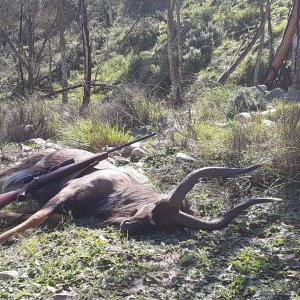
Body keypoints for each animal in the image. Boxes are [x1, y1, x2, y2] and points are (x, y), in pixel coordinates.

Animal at [0, 148, 278, 241]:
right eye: (154, 209)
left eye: (165, 227)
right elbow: (36, 217)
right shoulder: (69, 190)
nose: (127, 226)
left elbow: (50, 216)